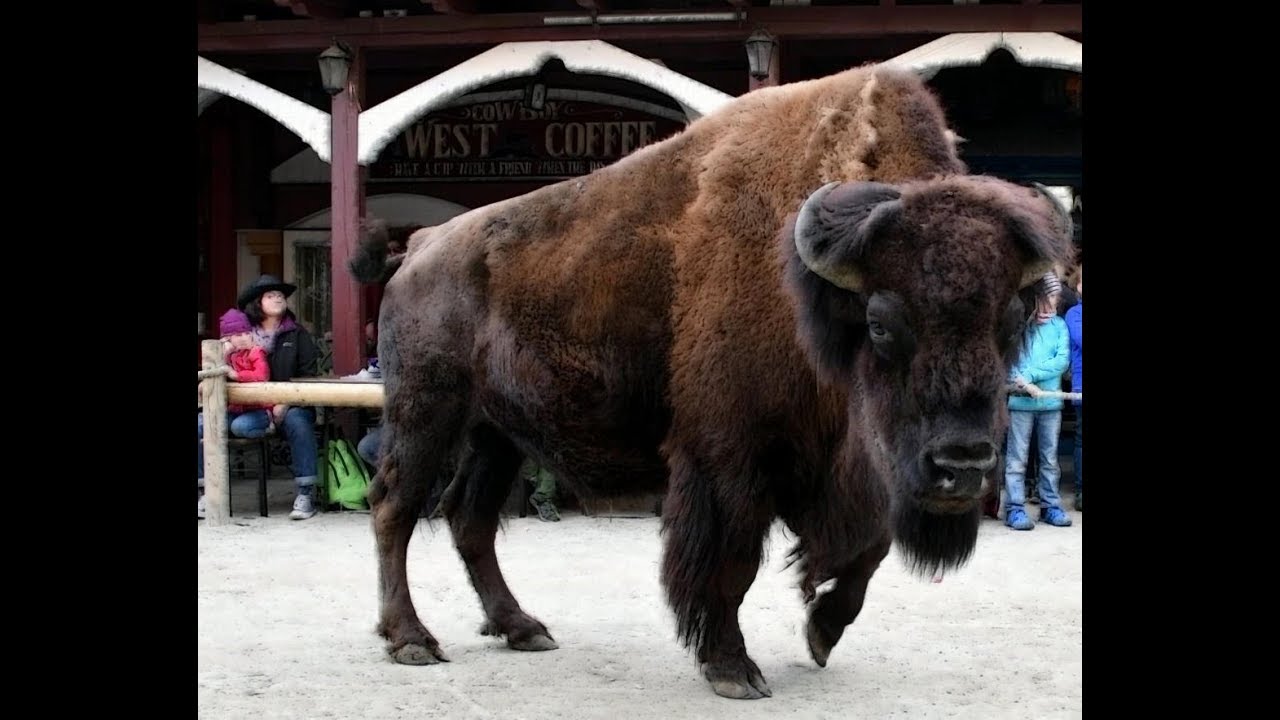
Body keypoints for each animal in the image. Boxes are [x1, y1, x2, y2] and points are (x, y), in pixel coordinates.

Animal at [349, 62, 1074, 700]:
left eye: (1014, 319)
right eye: (881, 321)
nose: (965, 465)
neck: (811, 293)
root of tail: (421, 245)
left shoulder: (856, 468)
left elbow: (865, 549)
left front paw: (820, 632)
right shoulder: (730, 458)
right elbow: (732, 565)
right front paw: (733, 669)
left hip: (495, 434)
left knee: (468, 519)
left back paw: (522, 628)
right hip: (426, 412)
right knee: (396, 508)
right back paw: (412, 640)